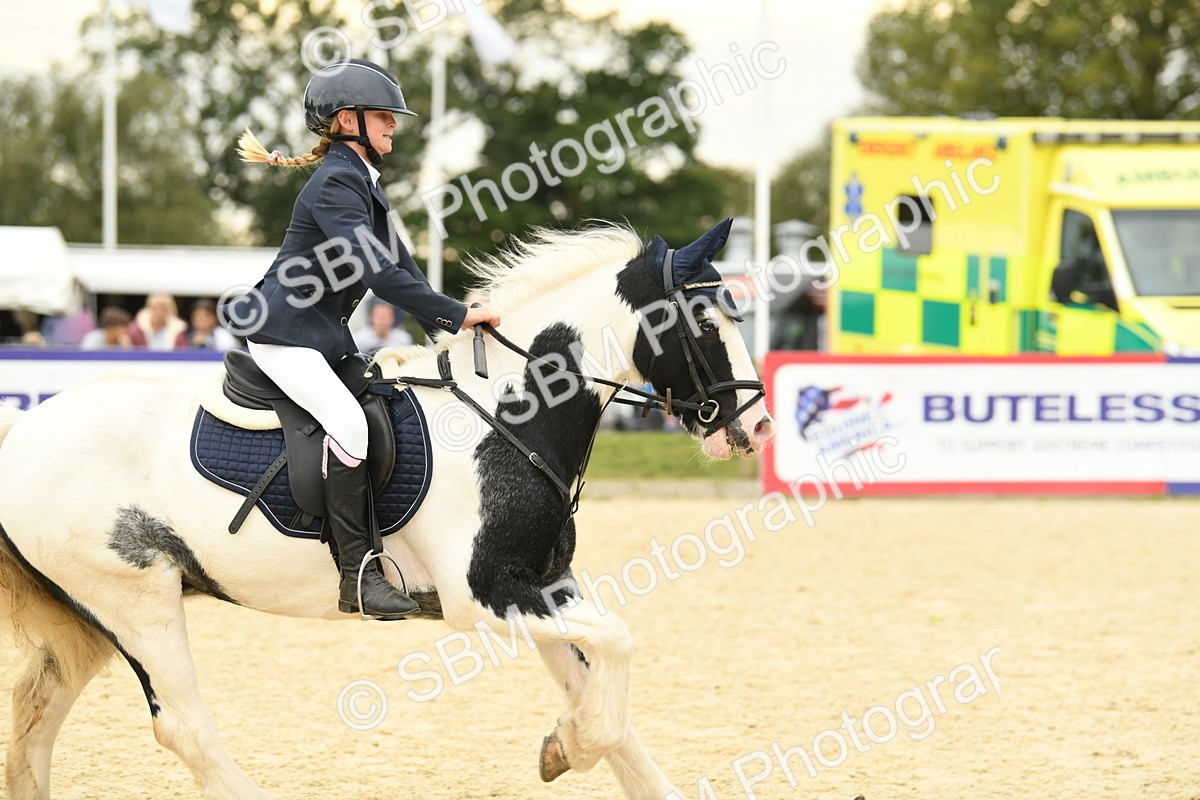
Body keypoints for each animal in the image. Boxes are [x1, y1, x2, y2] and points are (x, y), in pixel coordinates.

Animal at [0, 221, 775, 800]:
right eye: (703, 318)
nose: (759, 428)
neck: (510, 416)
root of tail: (22, 432)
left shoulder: (543, 586)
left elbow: (603, 694)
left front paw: (572, 745)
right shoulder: (484, 595)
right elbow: (617, 647)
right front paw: (566, 744)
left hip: (93, 621)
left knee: (38, 712)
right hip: (138, 601)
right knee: (183, 725)